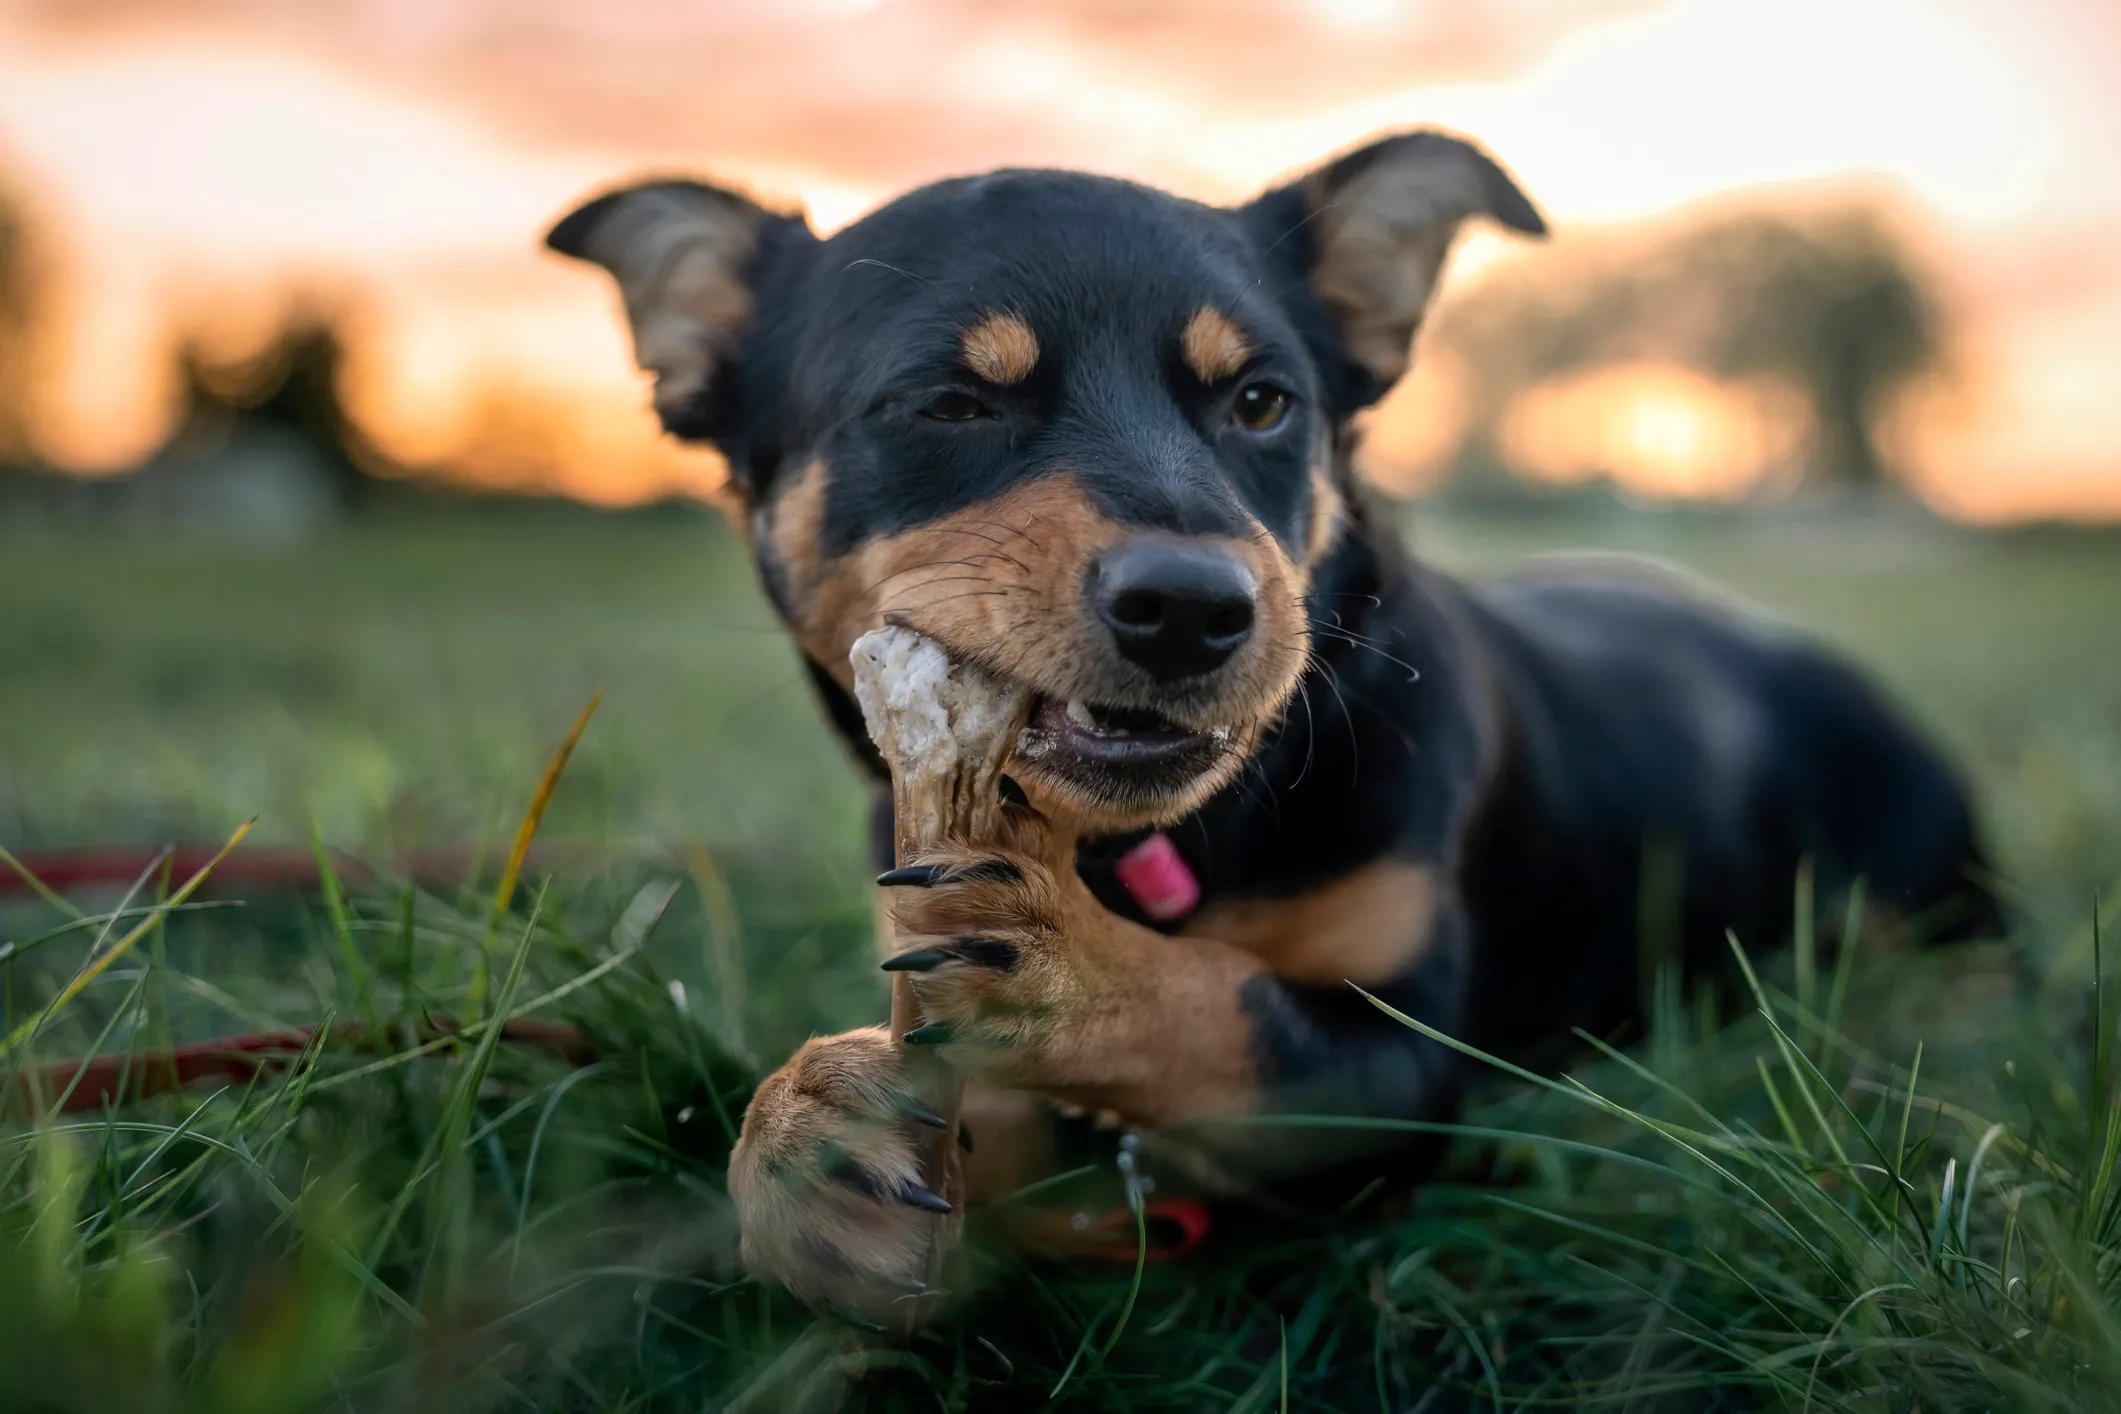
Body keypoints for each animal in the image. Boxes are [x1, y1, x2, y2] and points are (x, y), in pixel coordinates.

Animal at [542, 132, 1985, 1331]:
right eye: (950, 402)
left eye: (1260, 403)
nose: (1192, 610)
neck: (1170, 846)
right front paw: (811, 1134)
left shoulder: (1398, 1073)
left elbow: (1217, 1007)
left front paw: (1064, 967)